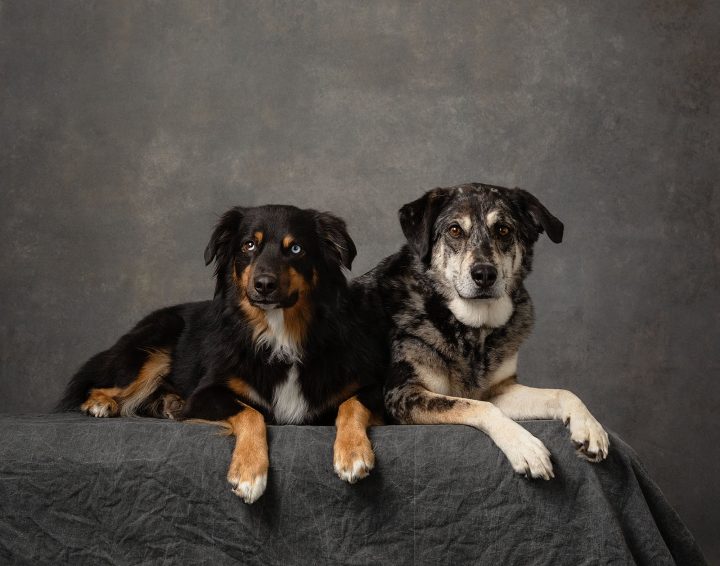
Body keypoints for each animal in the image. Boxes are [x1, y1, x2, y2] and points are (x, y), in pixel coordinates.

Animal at [59, 206, 386, 504]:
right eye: (249, 245)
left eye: (296, 248)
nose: (263, 285)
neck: (281, 335)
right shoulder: (207, 393)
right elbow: (250, 412)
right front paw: (249, 472)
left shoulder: (373, 388)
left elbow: (350, 403)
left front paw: (353, 452)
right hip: (156, 341)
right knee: (100, 383)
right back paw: (102, 403)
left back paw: (170, 404)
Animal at [354, 184, 608, 482]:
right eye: (454, 230)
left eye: (503, 230)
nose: (484, 274)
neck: (472, 329)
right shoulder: (402, 394)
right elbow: (478, 406)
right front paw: (525, 447)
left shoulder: (500, 389)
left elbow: (562, 392)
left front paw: (589, 426)